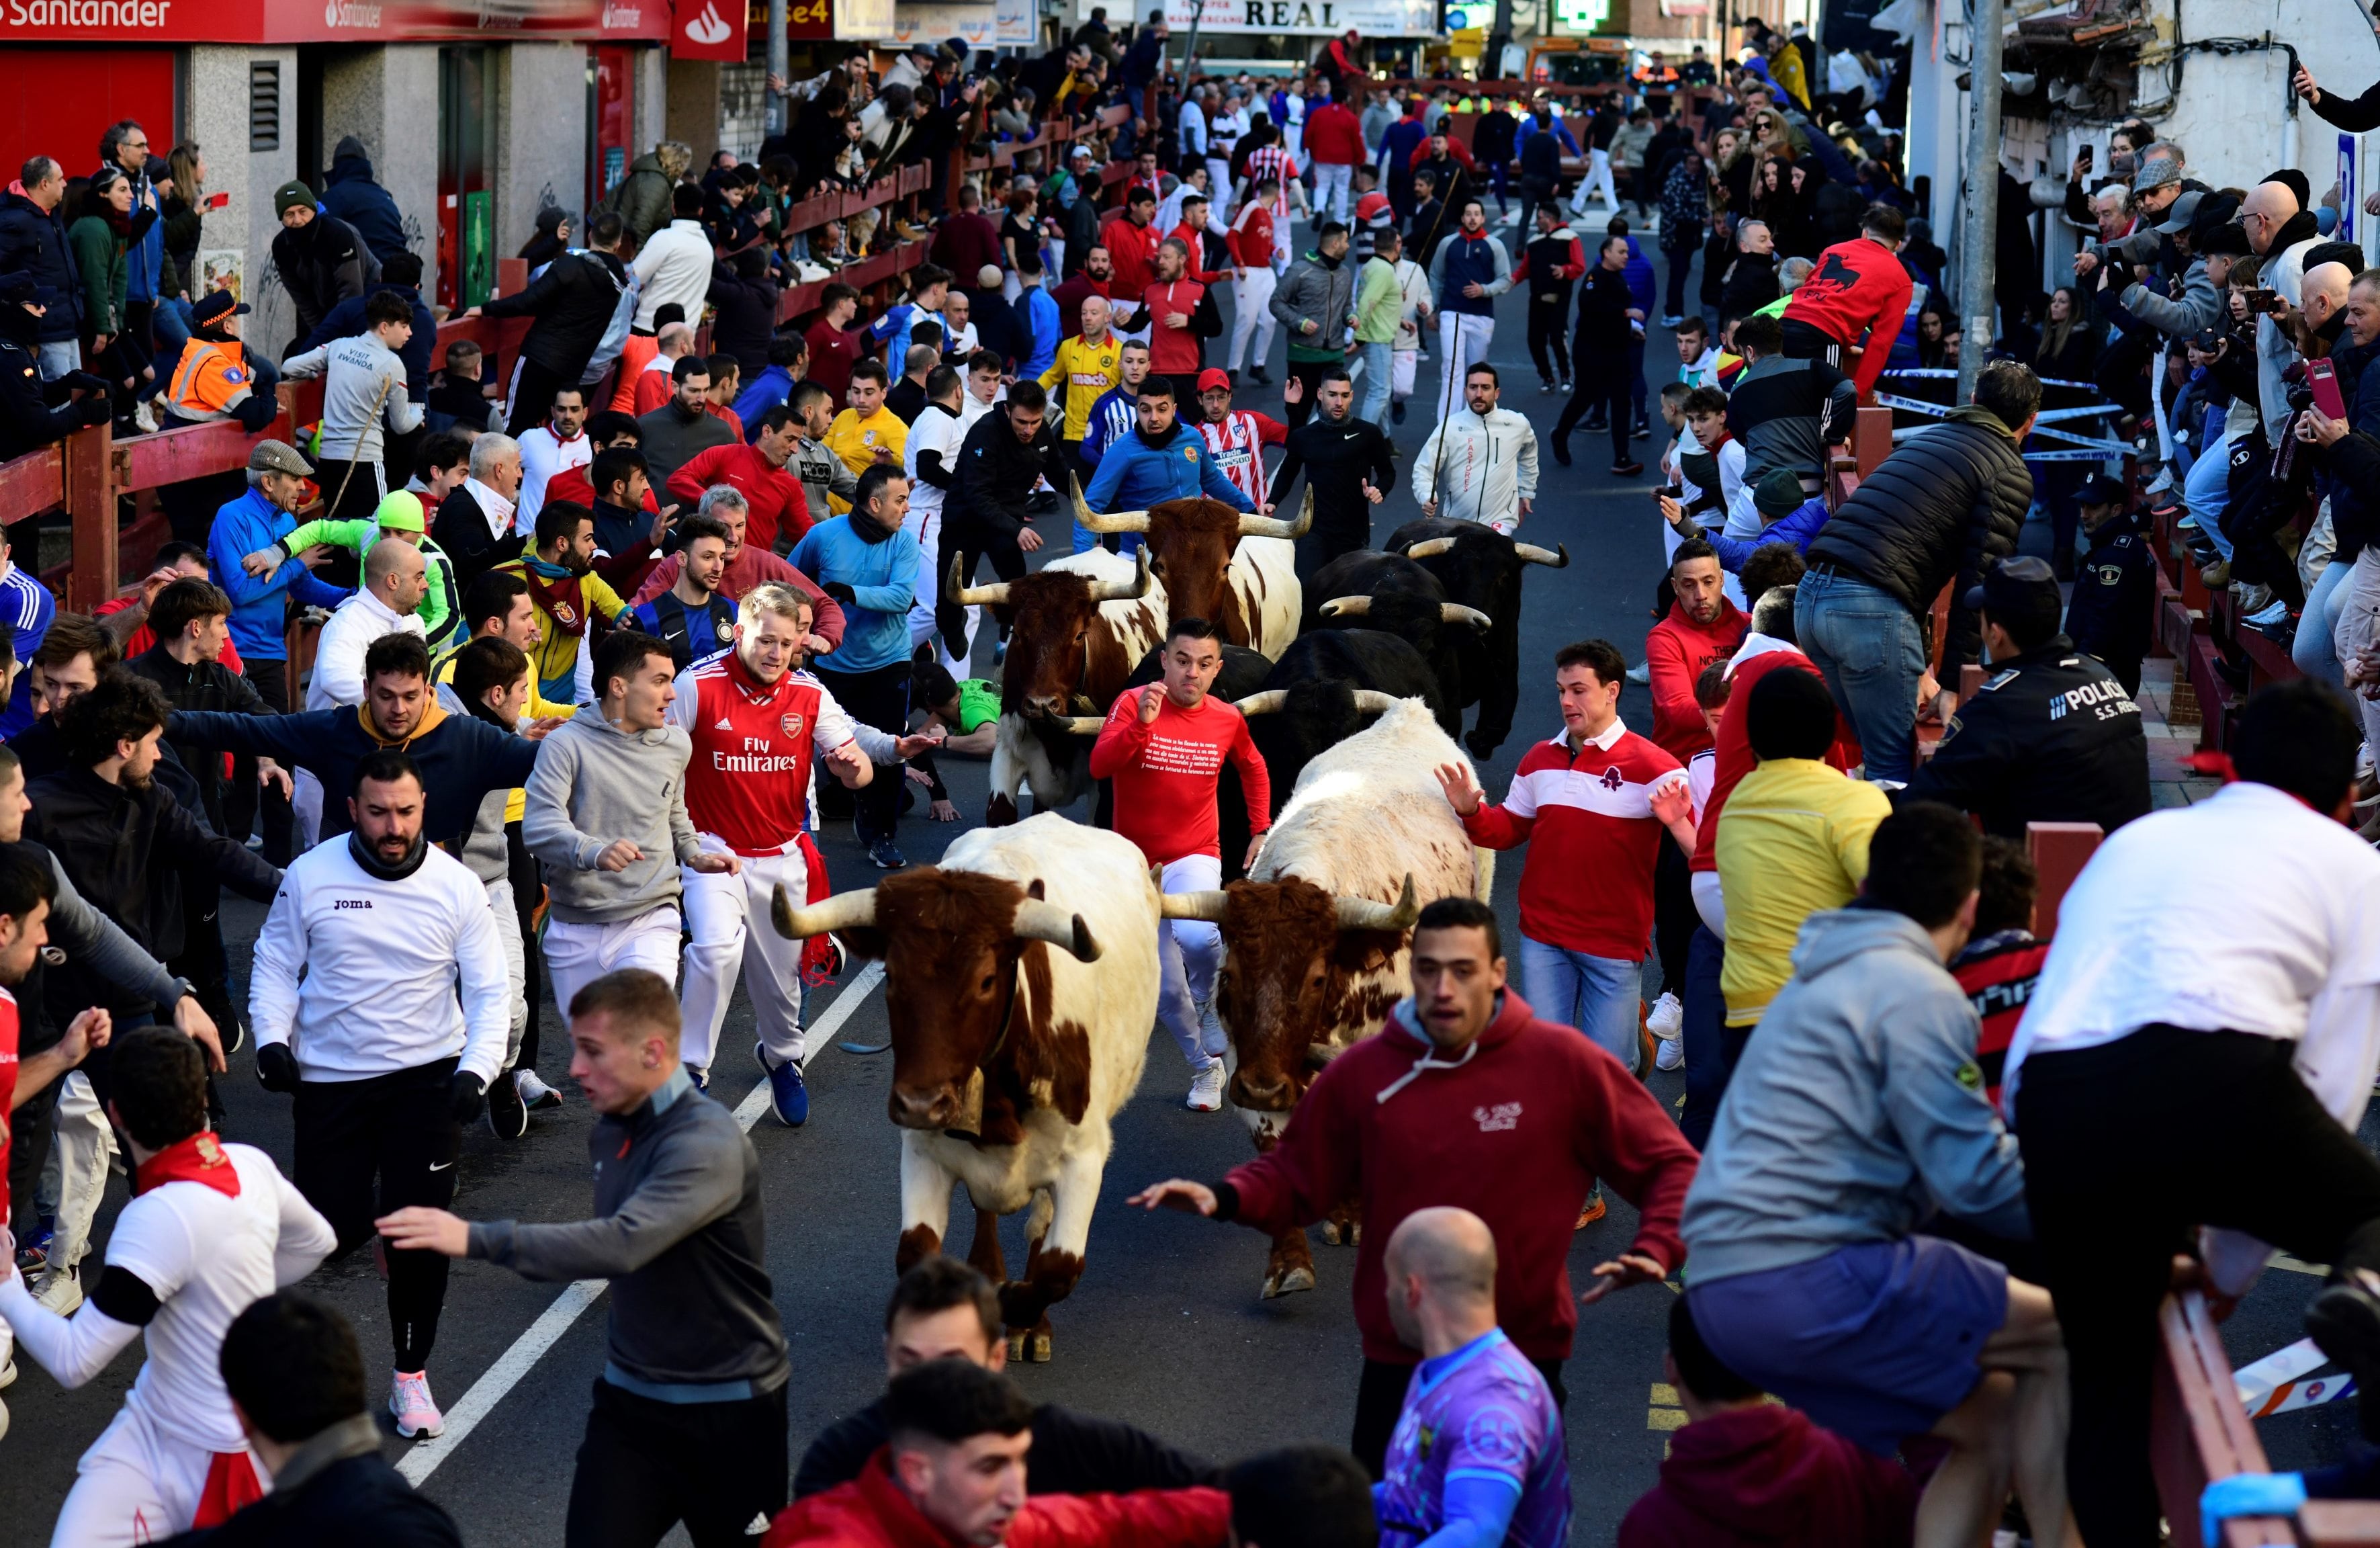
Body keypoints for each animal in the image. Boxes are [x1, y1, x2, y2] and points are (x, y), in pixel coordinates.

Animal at [1156, 695, 1485, 1295]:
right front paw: (1289, 1264)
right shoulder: (1245, 1063)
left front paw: (1351, 1217)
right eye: (1228, 975)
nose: (1264, 1087)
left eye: (1314, 978)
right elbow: (1273, 1141)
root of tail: (1408, 712)